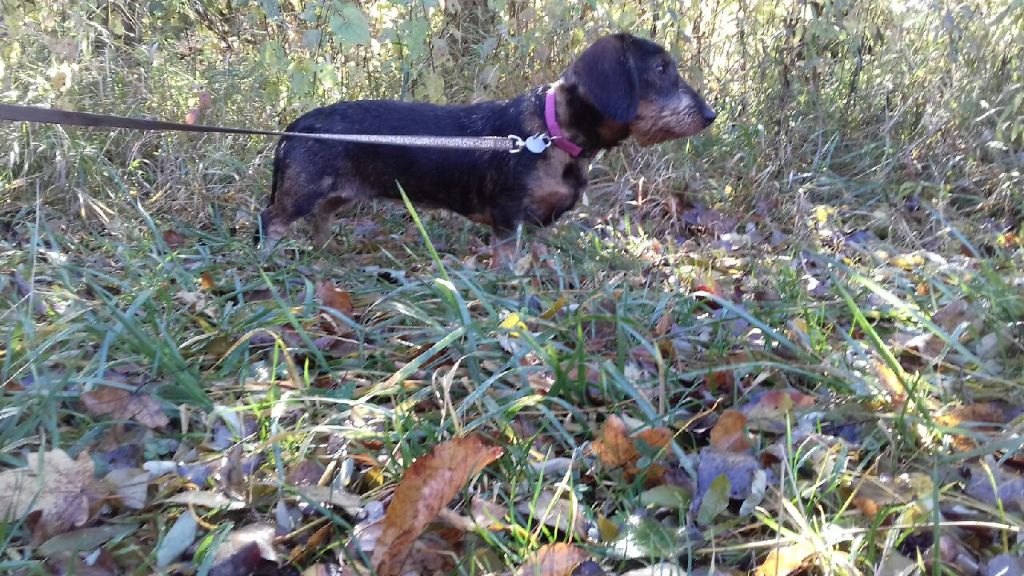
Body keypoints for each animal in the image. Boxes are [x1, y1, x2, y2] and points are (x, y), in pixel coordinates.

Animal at [258, 33, 712, 260]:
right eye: (661, 69)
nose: (710, 115)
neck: (551, 135)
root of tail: (296, 126)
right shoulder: (508, 217)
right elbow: (508, 261)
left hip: (338, 194)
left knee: (320, 217)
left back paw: (325, 253)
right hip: (302, 192)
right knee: (272, 220)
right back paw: (268, 264)